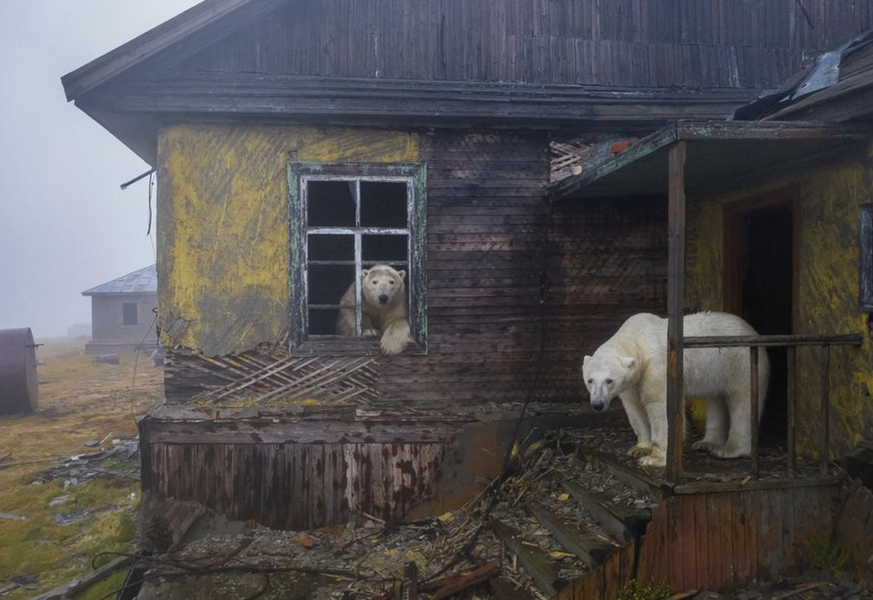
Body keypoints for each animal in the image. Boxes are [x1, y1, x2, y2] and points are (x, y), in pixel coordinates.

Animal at [584, 312, 768, 472]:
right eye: (590, 380)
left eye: (609, 380)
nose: (597, 404)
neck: (638, 339)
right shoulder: (633, 382)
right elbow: (634, 408)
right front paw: (639, 448)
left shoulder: (657, 368)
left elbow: (660, 406)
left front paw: (654, 459)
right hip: (716, 372)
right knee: (716, 399)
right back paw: (706, 443)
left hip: (739, 363)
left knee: (742, 402)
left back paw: (730, 449)